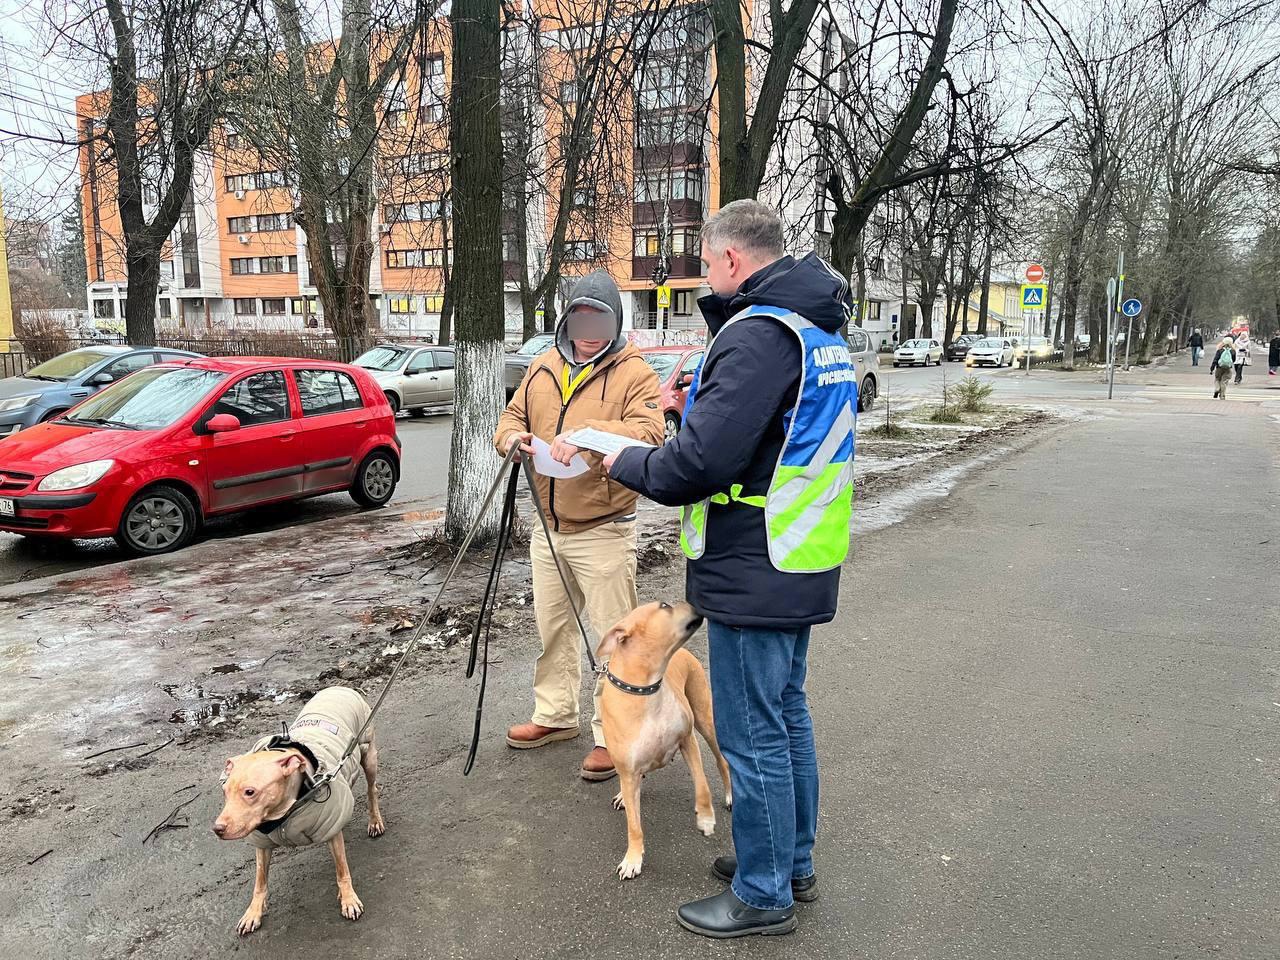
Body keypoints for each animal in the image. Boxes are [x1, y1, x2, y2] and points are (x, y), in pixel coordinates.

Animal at [212, 691, 384, 942]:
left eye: (250, 792)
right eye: (224, 791)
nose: (217, 829)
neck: (283, 815)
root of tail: (340, 688)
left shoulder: (330, 830)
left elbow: (342, 870)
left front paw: (348, 898)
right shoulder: (262, 843)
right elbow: (260, 881)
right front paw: (253, 912)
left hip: (368, 752)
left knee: (372, 789)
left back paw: (375, 821)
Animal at [596, 604, 732, 885]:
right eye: (665, 606)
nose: (693, 601)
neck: (645, 690)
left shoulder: (688, 741)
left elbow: (702, 787)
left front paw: (706, 820)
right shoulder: (628, 771)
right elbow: (634, 826)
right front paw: (633, 859)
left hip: (705, 719)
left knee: (721, 760)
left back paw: (729, 795)